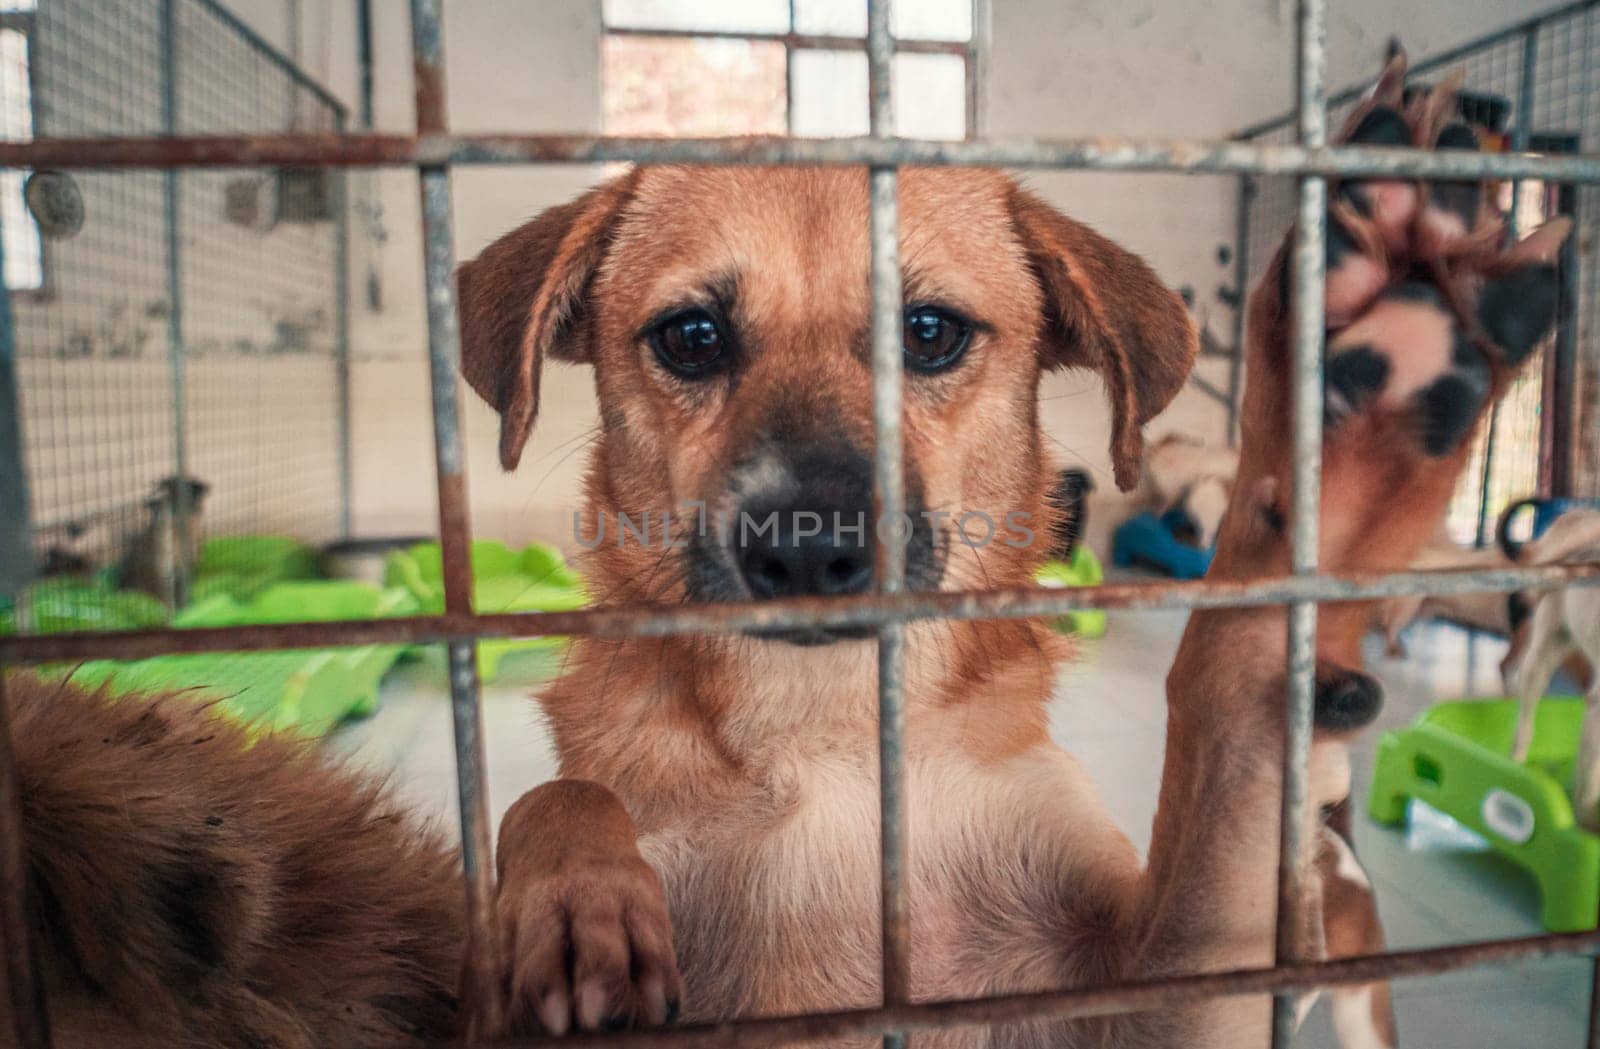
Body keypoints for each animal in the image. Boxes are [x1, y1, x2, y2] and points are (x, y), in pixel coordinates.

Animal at [454, 55, 1561, 1042]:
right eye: (691, 336)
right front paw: (580, 897)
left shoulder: (1167, 989)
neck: (827, 731)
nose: (808, 548)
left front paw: (1364, 385)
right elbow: (554, 795)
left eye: (931, 331)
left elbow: (1226, 703)